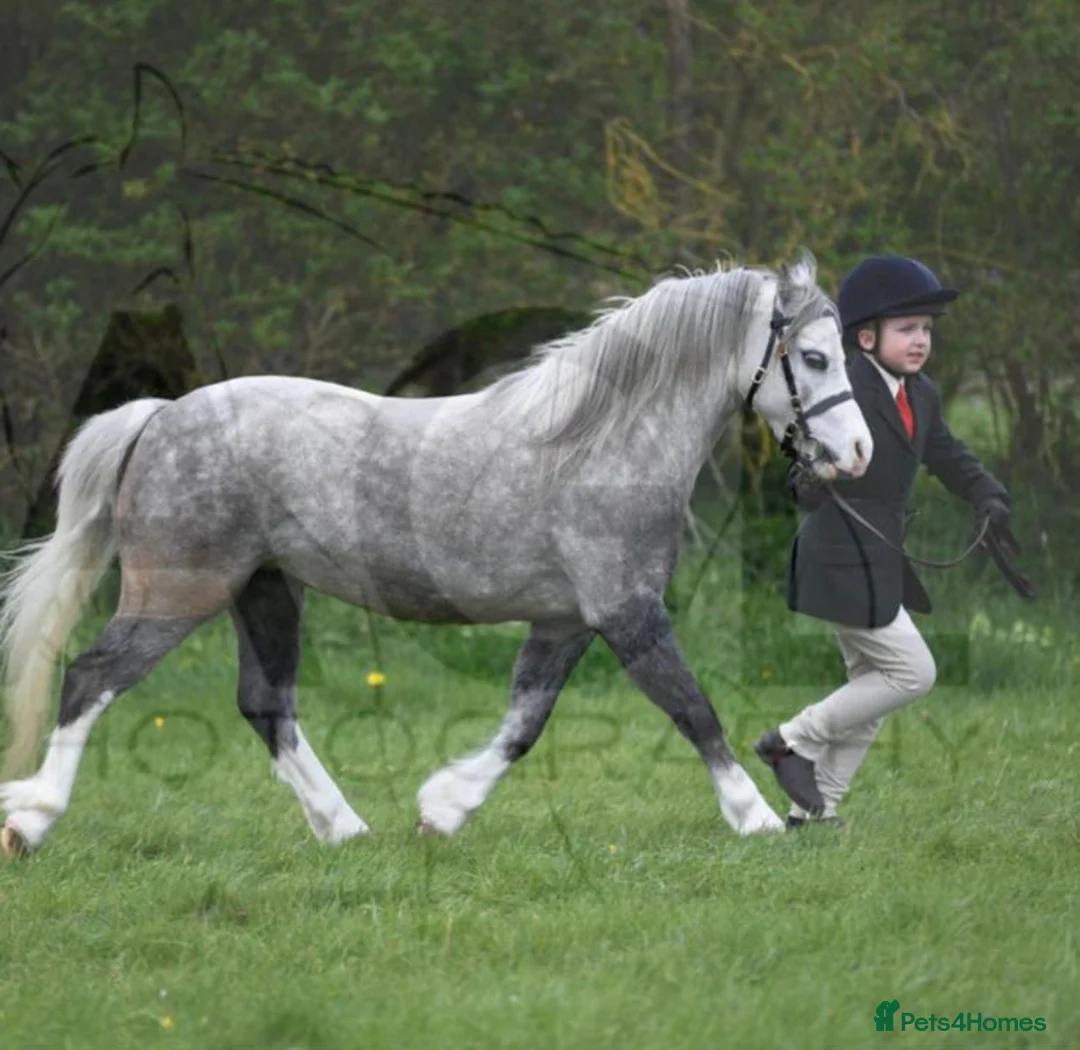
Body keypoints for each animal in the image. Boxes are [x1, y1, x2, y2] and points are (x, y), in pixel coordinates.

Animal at [0, 251, 872, 857]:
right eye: (815, 358)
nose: (860, 452)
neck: (600, 444)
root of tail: (160, 416)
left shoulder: (566, 621)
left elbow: (524, 724)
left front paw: (442, 810)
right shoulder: (627, 613)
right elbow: (693, 710)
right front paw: (757, 818)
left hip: (267, 590)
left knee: (265, 705)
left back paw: (346, 829)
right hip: (180, 589)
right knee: (92, 678)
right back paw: (31, 819)